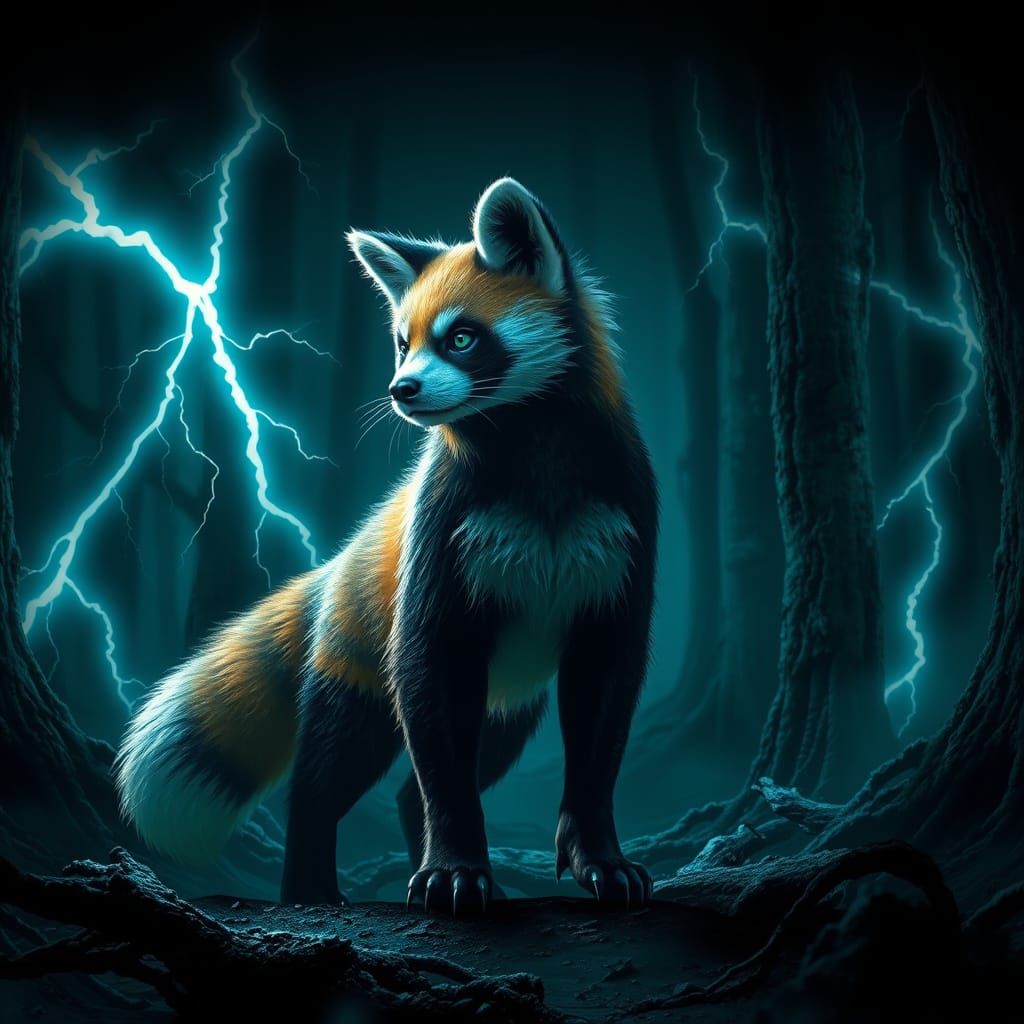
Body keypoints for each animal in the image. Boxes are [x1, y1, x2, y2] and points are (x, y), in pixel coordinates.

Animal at [116, 177, 658, 913]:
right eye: (403, 343)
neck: (536, 458)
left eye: (462, 337)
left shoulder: (623, 541)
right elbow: (433, 715)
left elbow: (600, 733)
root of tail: (339, 561)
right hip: (360, 661)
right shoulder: (441, 548)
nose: (402, 389)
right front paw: (455, 868)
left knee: (434, 777)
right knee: (330, 773)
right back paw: (310, 886)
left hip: (512, 691)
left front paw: (598, 858)